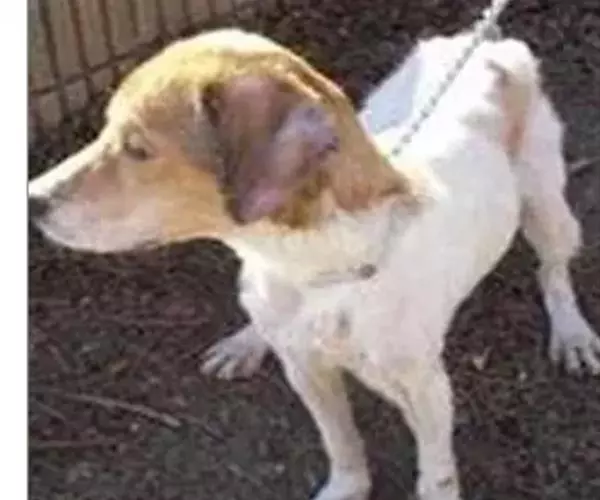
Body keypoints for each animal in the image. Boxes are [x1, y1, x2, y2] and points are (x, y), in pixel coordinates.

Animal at [28, 28, 600, 500]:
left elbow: (435, 475)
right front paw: (347, 487)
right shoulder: (304, 367)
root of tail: (486, 48)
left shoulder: (428, 391)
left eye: (138, 148)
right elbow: (340, 443)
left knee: (553, 273)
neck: (315, 272)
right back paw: (246, 340)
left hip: (547, 208)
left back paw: (571, 333)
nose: (31, 199)